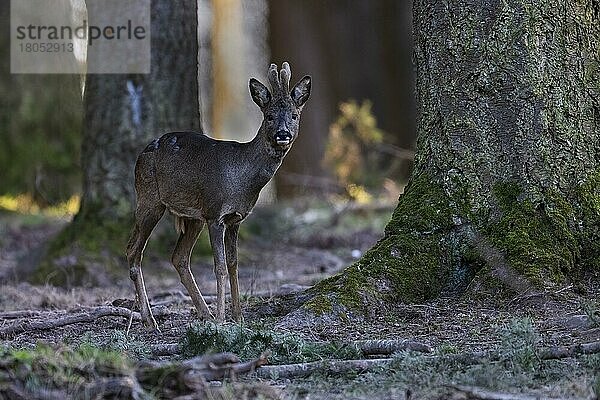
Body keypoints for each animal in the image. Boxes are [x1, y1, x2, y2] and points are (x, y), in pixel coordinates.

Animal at [125, 62, 312, 328]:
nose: (283, 134)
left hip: (192, 216)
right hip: (149, 198)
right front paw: (223, 318)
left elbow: (234, 264)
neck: (242, 179)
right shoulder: (215, 214)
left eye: (295, 115)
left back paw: (204, 313)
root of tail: (142, 154)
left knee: (178, 257)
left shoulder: (236, 218)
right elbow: (220, 266)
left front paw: (238, 316)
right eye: (269, 116)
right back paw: (151, 319)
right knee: (133, 251)